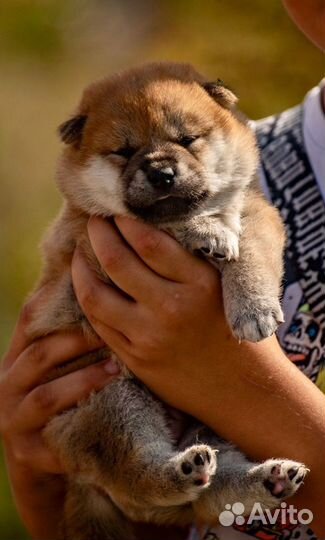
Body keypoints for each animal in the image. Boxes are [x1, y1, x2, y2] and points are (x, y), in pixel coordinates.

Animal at [26, 64, 306, 540]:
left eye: (188, 139)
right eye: (124, 151)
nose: (162, 174)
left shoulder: (258, 214)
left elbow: (249, 251)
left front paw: (253, 307)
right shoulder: (95, 237)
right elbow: (164, 223)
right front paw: (206, 231)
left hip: (219, 419)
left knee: (210, 496)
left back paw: (268, 478)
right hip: (113, 402)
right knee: (141, 479)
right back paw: (184, 470)